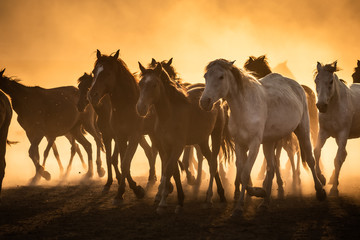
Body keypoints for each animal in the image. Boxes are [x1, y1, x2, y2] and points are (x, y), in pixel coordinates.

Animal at [88, 49, 147, 202]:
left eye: (108, 73)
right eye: (93, 72)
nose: (92, 95)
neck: (127, 106)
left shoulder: (134, 136)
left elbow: (125, 162)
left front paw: (128, 190)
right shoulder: (119, 137)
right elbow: (120, 161)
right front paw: (129, 187)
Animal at [136, 62, 233, 214]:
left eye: (154, 85)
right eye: (140, 84)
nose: (141, 108)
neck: (169, 114)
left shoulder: (178, 146)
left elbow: (169, 169)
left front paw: (162, 203)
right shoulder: (166, 147)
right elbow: (173, 171)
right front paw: (179, 201)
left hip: (216, 134)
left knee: (213, 164)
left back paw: (210, 199)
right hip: (202, 140)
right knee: (209, 159)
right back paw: (221, 195)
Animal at [200, 58, 326, 216]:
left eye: (221, 77)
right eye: (205, 76)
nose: (204, 102)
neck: (244, 108)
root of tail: (297, 86)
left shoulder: (254, 144)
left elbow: (245, 173)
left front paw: (242, 205)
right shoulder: (239, 145)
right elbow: (242, 172)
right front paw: (258, 193)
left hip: (302, 129)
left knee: (309, 160)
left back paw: (320, 191)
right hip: (269, 142)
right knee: (271, 168)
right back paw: (265, 202)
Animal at [312, 61, 360, 196]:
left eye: (330, 81)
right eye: (316, 80)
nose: (321, 106)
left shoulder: (343, 134)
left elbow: (337, 159)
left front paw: (334, 189)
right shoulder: (323, 132)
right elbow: (317, 151)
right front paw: (322, 178)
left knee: (342, 155)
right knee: (344, 154)